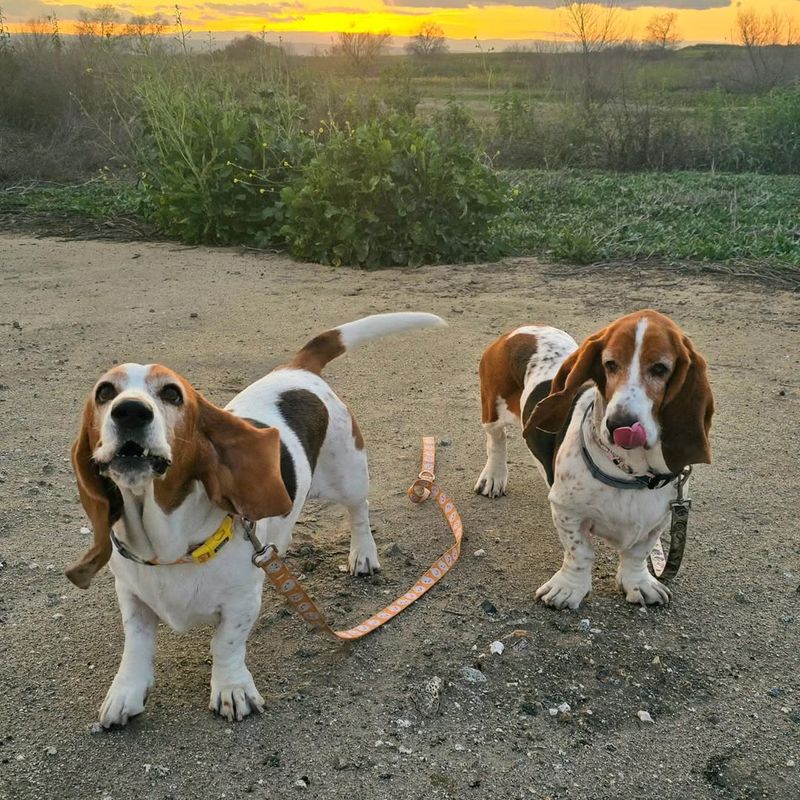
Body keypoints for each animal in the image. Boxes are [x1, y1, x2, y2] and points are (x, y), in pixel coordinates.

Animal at [67, 310, 444, 724]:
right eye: (105, 392)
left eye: (171, 393)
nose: (130, 411)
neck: (168, 547)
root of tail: (296, 368)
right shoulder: (132, 596)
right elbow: (136, 646)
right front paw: (126, 692)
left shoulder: (240, 602)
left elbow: (226, 644)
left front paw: (232, 689)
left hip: (349, 474)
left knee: (359, 512)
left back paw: (363, 553)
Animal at [476, 310, 712, 608]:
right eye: (609, 364)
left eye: (660, 368)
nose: (619, 424)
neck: (631, 473)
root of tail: (520, 330)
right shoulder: (568, 512)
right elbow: (580, 553)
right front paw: (568, 589)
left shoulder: (660, 519)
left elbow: (637, 555)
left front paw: (639, 584)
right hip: (492, 409)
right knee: (496, 441)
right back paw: (493, 477)